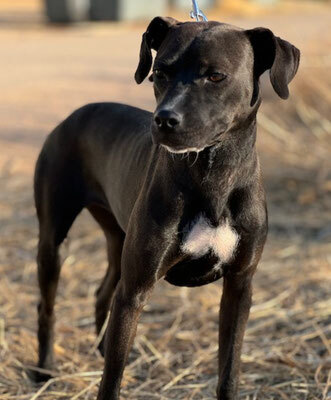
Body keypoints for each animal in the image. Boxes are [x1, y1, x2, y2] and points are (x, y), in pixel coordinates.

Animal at [33, 17, 300, 398]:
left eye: (216, 76)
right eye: (159, 72)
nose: (164, 120)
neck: (213, 175)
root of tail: (74, 115)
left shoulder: (239, 287)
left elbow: (229, 367)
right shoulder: (136, 291)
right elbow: (111, 379)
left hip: (118, 240)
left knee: (102, 294)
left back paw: (98, 350)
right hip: (54, 241)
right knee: (48, 305)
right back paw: (44, 369)